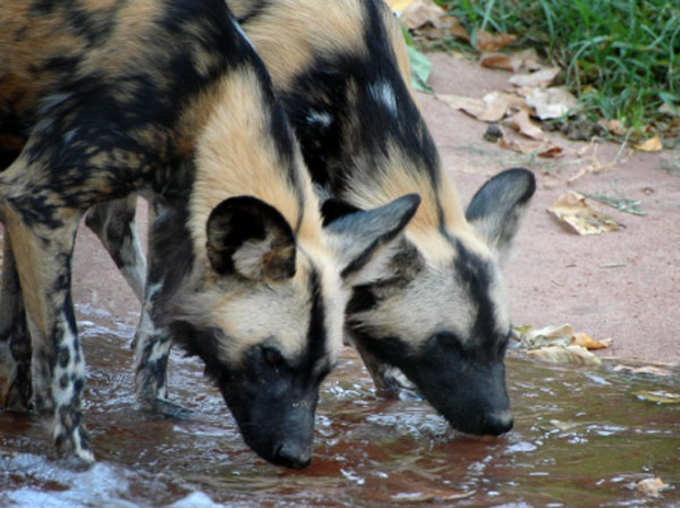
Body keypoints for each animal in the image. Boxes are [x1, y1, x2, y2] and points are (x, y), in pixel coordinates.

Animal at [0, 0, 418, 468]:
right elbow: (66, 364)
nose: (296, 457)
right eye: (270, 357)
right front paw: (79, 464)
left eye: (325, 371)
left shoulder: (155, 215)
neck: (209, 94)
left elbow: (30, 338)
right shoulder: (37, 200)